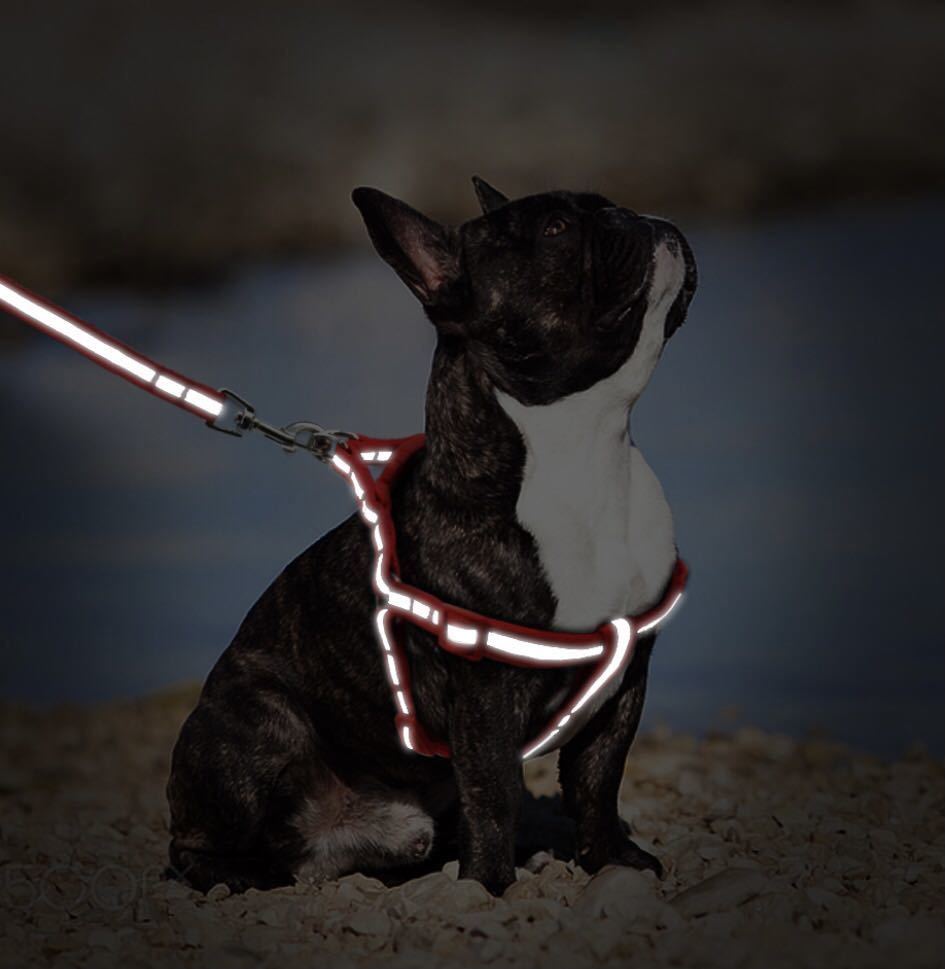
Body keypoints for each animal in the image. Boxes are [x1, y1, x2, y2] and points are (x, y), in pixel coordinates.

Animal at [168, 178, 692, 896]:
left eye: (603, 204)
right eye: (555, 229)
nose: (635, 217)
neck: (584, 449)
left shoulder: (626, 674)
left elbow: (598, 779)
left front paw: (611, 858)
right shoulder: (485, 694)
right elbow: (495, 793)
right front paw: (491, 884)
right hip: (261, 723)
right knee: (196, 842)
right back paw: (234, 876)